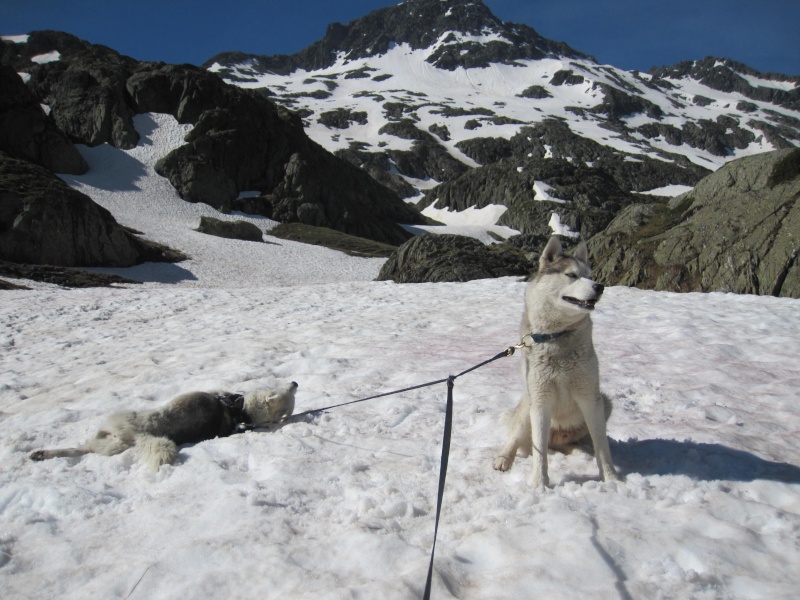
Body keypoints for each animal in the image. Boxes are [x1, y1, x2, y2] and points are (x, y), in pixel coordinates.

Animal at [29, 382, 300, 472]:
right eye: (285, 392)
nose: (295, 383)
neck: (237, 409)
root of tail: (137, 437)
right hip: (108, 446)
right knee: (82, 449)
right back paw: (40, 454)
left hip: (117, 426)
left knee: (84, 446)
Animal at [494, 237, 620, 490]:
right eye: (571, 275)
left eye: (590, 275)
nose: (600, 286)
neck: (557, 336)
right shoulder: (541, 401)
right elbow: (539, 452)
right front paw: (539, 485)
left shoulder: (590, 398)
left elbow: (603, 448)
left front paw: (611, 480)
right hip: (527, 405)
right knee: (518, 440)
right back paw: (504, 459)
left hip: (605, 403)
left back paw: (579, 450)